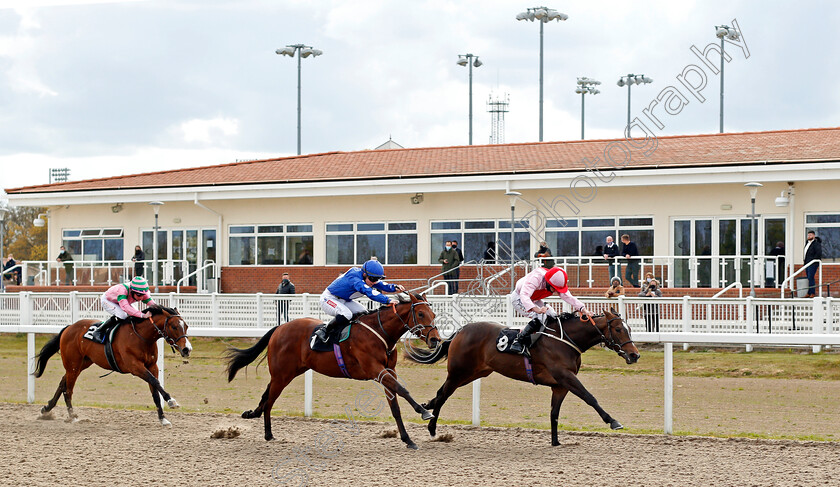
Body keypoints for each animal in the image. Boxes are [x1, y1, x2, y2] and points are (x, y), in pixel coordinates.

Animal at [33, 308, 192, 428]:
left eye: (186, 326)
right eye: (174, 326)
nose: (187, 349)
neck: (141, 336)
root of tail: (69, 327)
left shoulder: (152, 366)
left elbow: (154, 391)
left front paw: (163, 419)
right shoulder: (135, 367)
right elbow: (155, 382)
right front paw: (171, 401)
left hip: (82, 363)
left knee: (62, 383)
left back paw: (46, 409)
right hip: (73, 364)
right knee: (68, 389)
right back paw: (72, 416)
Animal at [226, 294, 442, 450]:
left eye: (433, 314)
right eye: (421, 314)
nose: (435, 340)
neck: (380, 332)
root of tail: (280, 327)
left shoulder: (389, 370)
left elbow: (395, 407)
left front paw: (408, 439)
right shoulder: (376, 370)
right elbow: (403, 390)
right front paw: (424, 411)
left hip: (288, 372)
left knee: (266, 395)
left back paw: (255, 416)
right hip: (282, 375)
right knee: (270, 400)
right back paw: (268, 433)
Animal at [416, 310, 640, 448]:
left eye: (629, 329)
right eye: (618, 329)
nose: (635, 355)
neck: (565, 341)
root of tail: (461, 330)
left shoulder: (560, 385)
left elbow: (554, 413)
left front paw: (556, 442)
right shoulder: (566, 377)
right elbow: (589, 397)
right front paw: (613, 421)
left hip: (474, 373)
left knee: (441, 393)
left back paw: (427, 408)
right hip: (459, 372)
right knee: (443, 395)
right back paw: (432, 427)